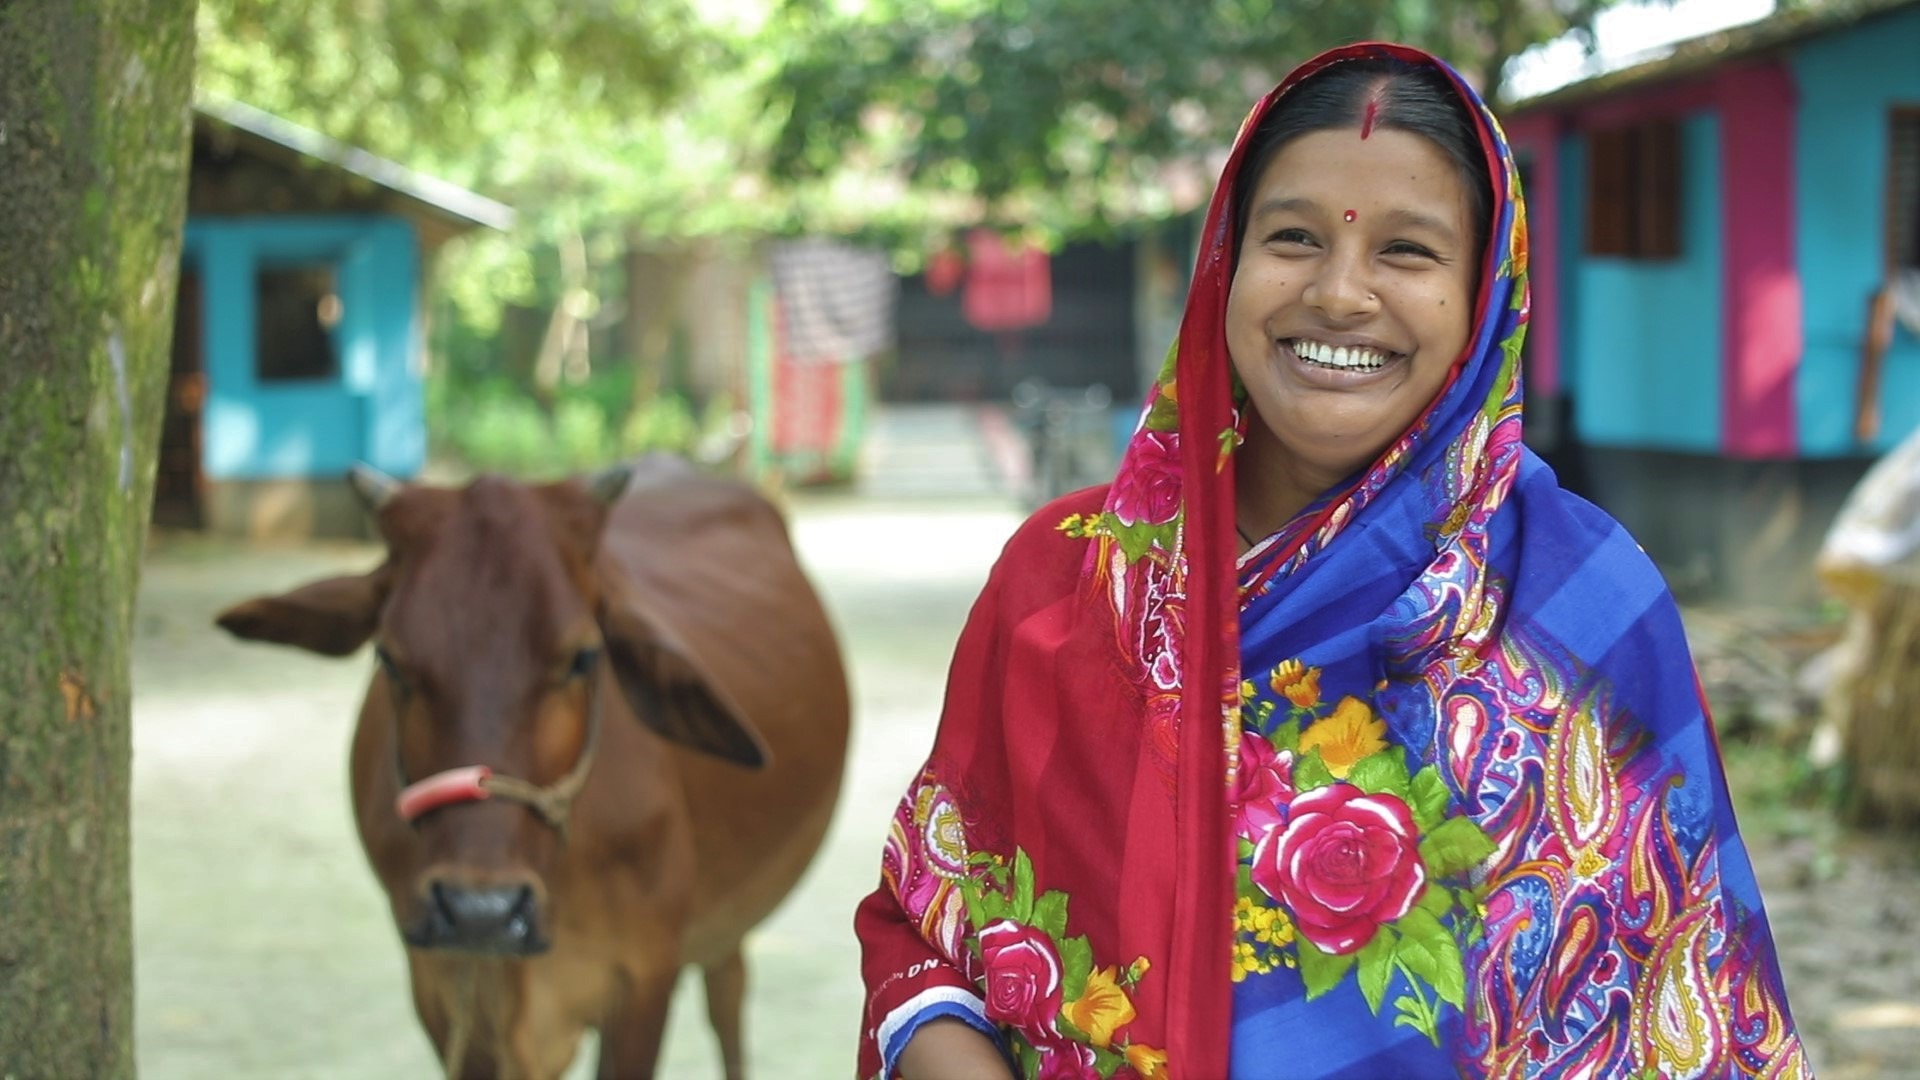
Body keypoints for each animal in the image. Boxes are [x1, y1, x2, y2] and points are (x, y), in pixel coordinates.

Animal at [214, 455, 852, 1076]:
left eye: (584, 657)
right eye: (389, 659)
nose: (482, 914)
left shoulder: (645, 979)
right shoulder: (441, 986)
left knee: (728, 999)